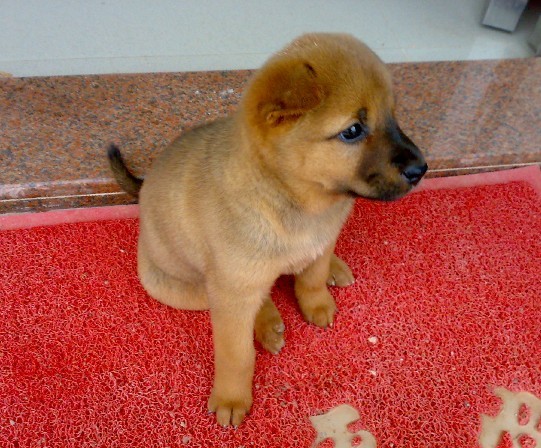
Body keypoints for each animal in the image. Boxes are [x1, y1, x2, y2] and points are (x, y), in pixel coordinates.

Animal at [107, 33, 427, 427]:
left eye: (393, 116)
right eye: (352, 131)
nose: (421, 169)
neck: (298, 200)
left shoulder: (323, 240)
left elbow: (312, 277)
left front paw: (318, 301)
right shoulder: (232, 292)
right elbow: (236, 354)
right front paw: (232, 396)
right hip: (184, 289)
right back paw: (268, 321)